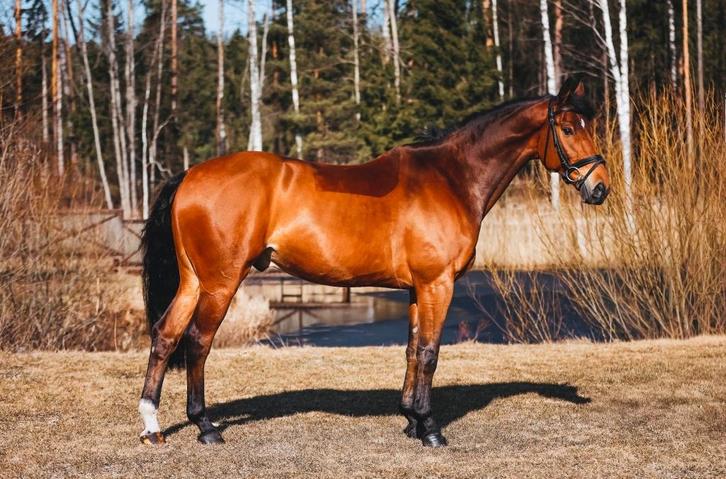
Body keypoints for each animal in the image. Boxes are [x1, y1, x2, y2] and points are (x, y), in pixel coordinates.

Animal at [138, 77, 610, 448]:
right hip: (221, 282)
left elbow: (412, 350)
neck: (450, 178)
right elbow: (431, 353)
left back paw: (152, 426)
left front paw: (412, 420)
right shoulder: (439, 284)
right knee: (197, 341)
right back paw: (205, 427)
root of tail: (190, 175)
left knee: (165, 335)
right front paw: (431, 430)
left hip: (193, 280)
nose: (600, 188)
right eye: (569, 128)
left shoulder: (418, 289)